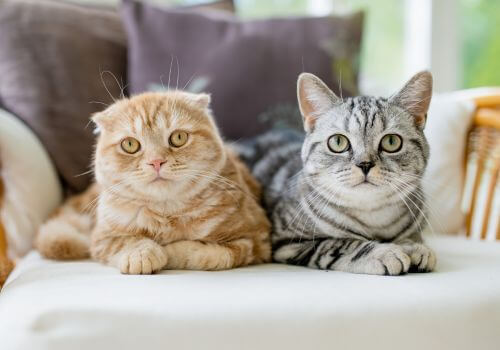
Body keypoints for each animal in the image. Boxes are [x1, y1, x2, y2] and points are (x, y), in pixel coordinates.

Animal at [35, 90, 272, 274]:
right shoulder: (102, 239)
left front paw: (169, 252)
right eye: (130, 144)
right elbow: (126, 241)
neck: (166, 214)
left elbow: (209, 254)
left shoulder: (254, 241)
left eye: (178, 138)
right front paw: (143, 255)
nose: (156, 161)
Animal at [236, 70, 436, 274]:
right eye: (338, 142)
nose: (365, 164)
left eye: (391, 142)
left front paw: (413, 246)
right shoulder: (289, 241)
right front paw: (384, 252)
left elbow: (412, 236)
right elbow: (342, 244)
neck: (374, 218)